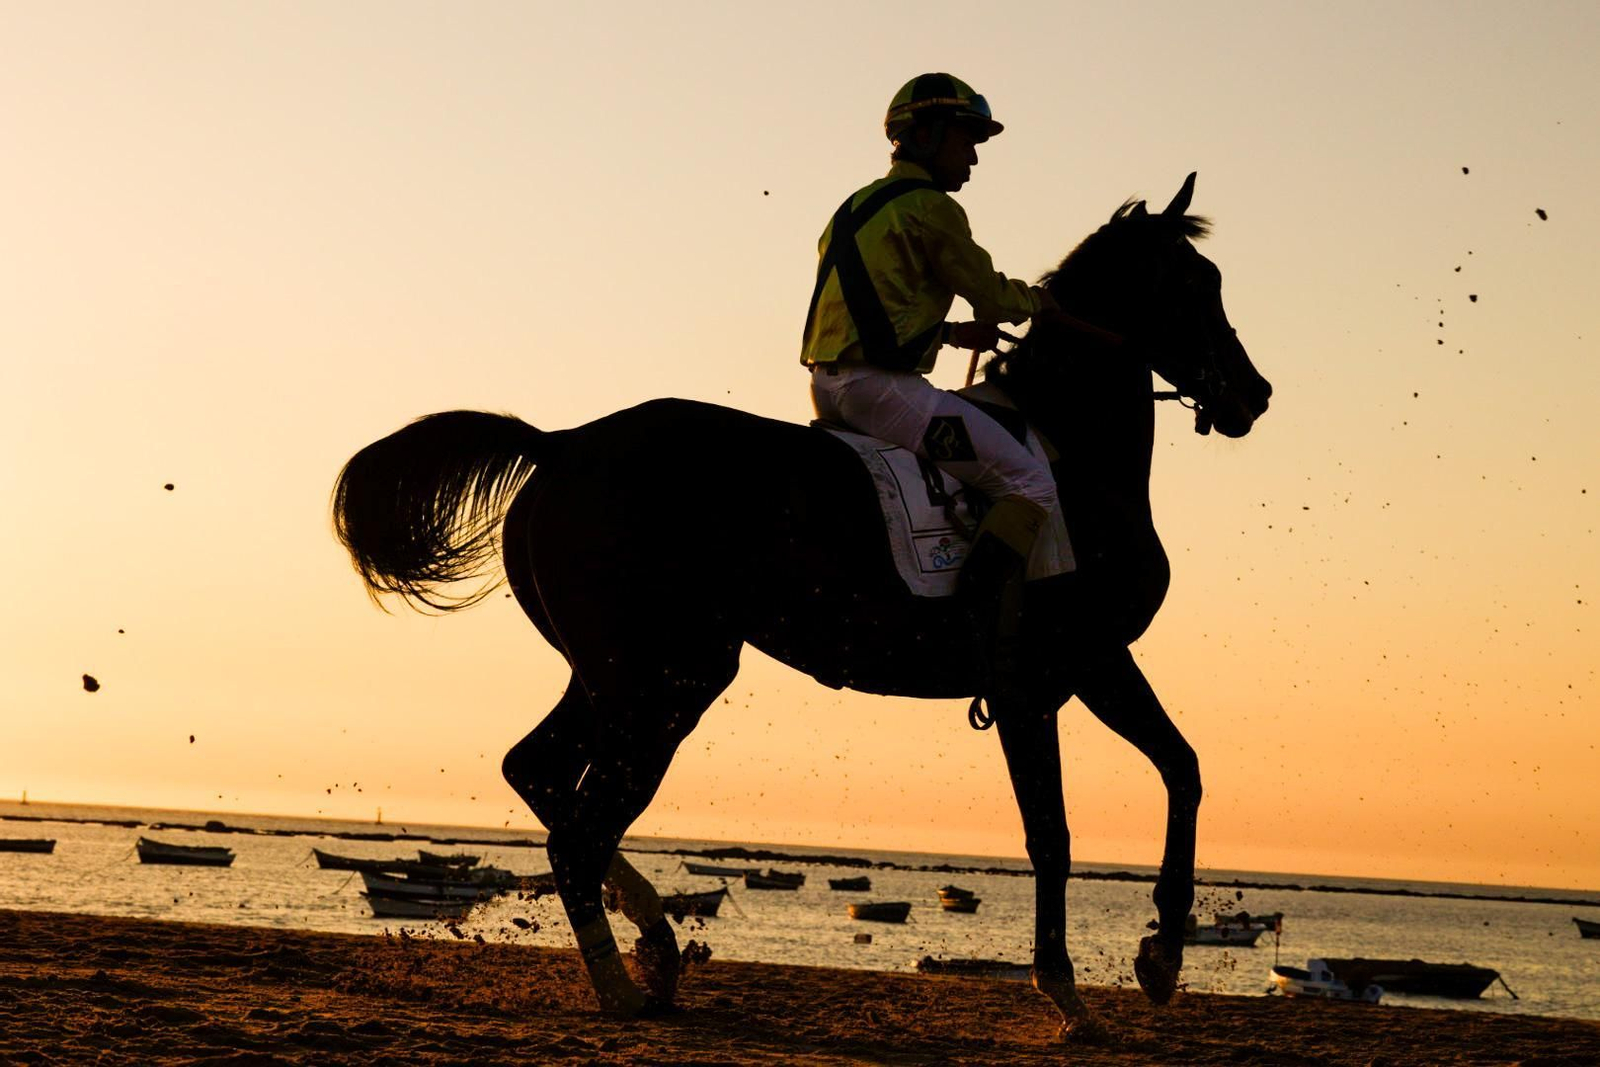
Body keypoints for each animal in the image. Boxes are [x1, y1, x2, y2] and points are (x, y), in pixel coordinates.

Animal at [331, 172, 1271, 1039]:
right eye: (1196, 283)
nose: (1251, 394)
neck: (1073, 455)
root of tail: (561, 444)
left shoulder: (1099, 662)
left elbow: (1182, 769)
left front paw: (1161, 954)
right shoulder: (1036, 684)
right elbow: (1054, 833)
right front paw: (1067, 991)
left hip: (615, 674)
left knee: (540, 774)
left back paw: (655, 948)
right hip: (664, 684)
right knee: (579, 826)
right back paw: (628, 983)